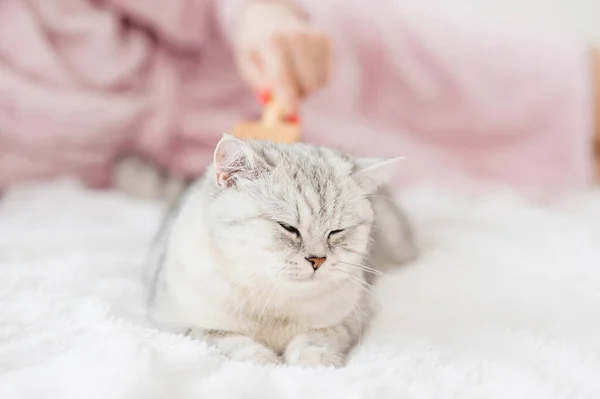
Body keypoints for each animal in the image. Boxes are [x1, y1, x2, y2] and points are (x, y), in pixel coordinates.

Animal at [139, 135, 412, 368]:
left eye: (336, 231)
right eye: (288, 227)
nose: (317, 260)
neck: (274, 301)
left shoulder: (350, 318)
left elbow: (317, 338)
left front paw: (311, 361)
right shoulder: (177, 325)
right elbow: (229, 340)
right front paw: (266, 361)